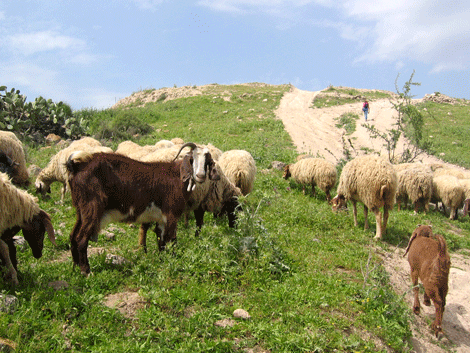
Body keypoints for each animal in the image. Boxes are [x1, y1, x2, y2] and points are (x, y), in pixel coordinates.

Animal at [66, 142, 218, 274]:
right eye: (192, 159)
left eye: (207, 161)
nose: (200, 176)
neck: (177, 175)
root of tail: (77, 166)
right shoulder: (171, 213)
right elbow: (172, 238)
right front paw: (173, 260)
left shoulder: (161, 218)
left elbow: (161, 239)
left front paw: (162, 260)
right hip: (92, 207)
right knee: (81, 238)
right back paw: (86, 271)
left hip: (81, 210)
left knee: (73, 235)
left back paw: (75, 267)